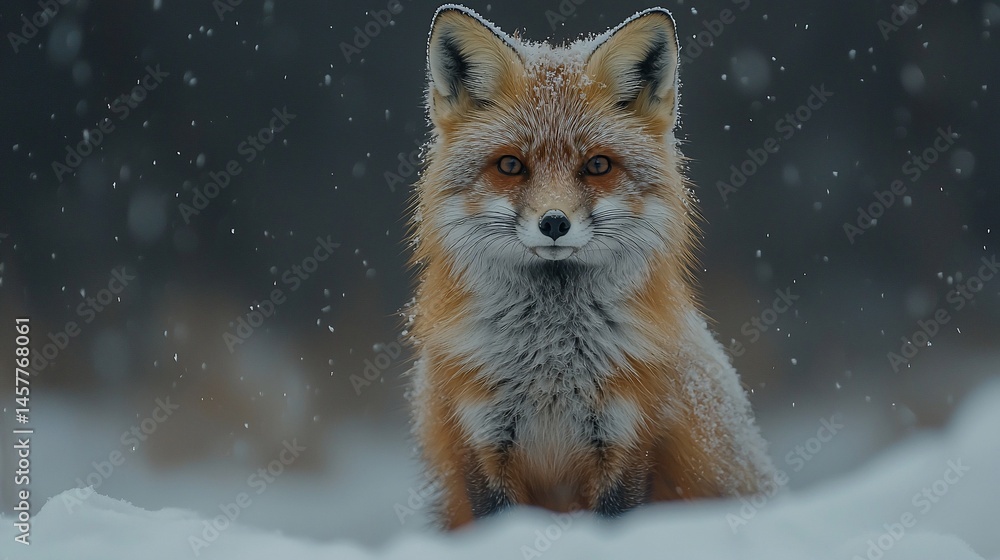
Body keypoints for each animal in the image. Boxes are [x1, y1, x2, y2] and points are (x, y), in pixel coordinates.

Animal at [405, 4, 777, 529]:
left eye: (597, 165)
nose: (554, 222)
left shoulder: (630, 441)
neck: (551, 365)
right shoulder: (479, 443)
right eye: (511, 165)